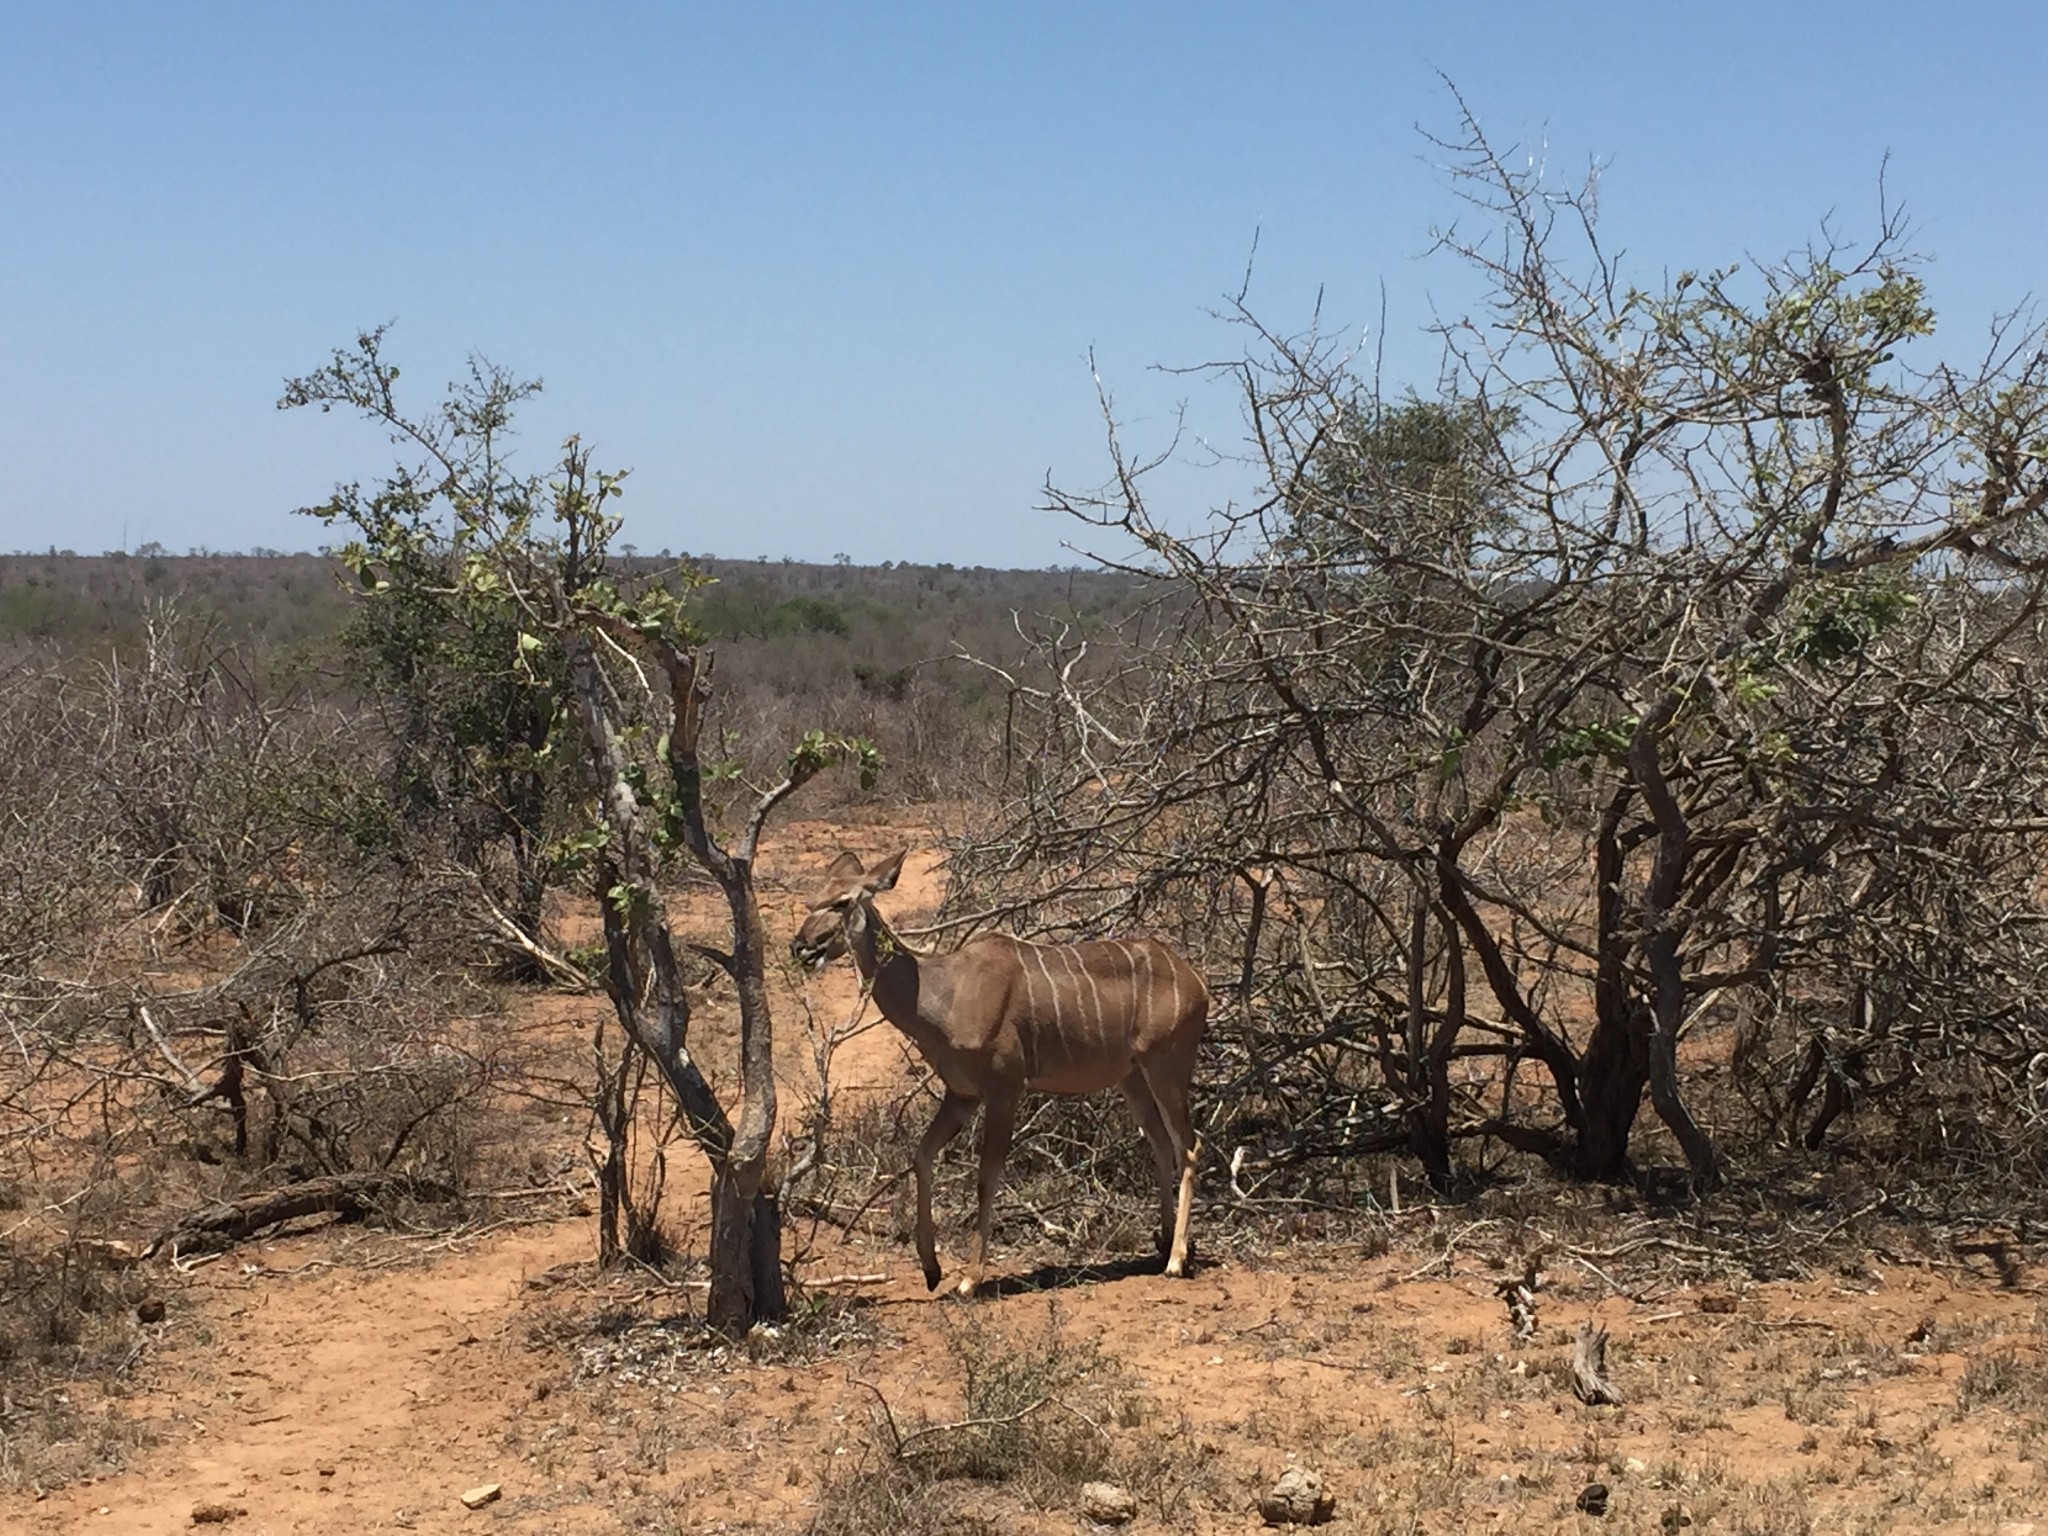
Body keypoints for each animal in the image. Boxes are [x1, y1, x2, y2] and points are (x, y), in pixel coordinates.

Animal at [790, 856, 1204, 1302]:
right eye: (812, 899)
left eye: (842, 901)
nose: (800, 947)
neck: (943, 995)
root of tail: (1197, 984)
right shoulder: (962, 1094)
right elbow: (921, 1155)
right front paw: (932, 1269)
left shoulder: (1004, 1088)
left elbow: (986, 1176)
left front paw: (970, 1279)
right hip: (1131, 1076)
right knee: (1161, 1141)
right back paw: (1163, 1243)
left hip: (1167, 1065)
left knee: (1189, 1144)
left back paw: (1177, 1259)